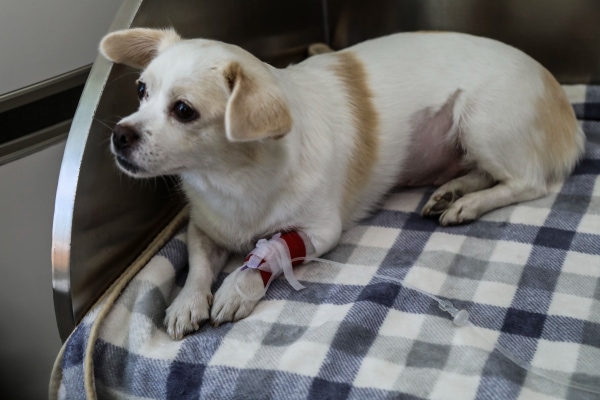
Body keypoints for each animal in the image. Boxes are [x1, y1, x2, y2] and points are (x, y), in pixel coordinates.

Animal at [99, 28, 584, 340]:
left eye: (184, 110)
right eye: (141, 91)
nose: (119, 134)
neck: (232, 177)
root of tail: (558, 93)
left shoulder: (319, 232)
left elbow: (267, 253)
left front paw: (237, 287)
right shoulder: (204, 227)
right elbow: (198, 262)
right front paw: (187, 302)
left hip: (480, 121)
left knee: (528, 182)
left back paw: (469, 203)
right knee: (489, 171)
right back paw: (453, 191)